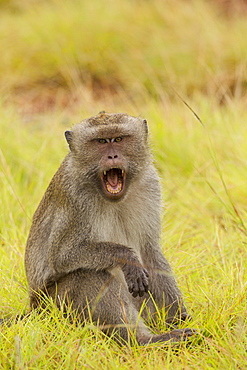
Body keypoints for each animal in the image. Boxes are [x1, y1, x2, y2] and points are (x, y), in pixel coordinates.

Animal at [24, 111, 195, 346]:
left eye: (119, 139)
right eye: (101, 142)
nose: (112, 156)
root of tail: (34, 308)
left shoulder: (150, 184)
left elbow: (149, 252)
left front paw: (178, 316)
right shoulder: (75, 197)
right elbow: (63, 256)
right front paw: (128, 258)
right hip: (55, 306)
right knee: (88, 274)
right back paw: (143, 340)